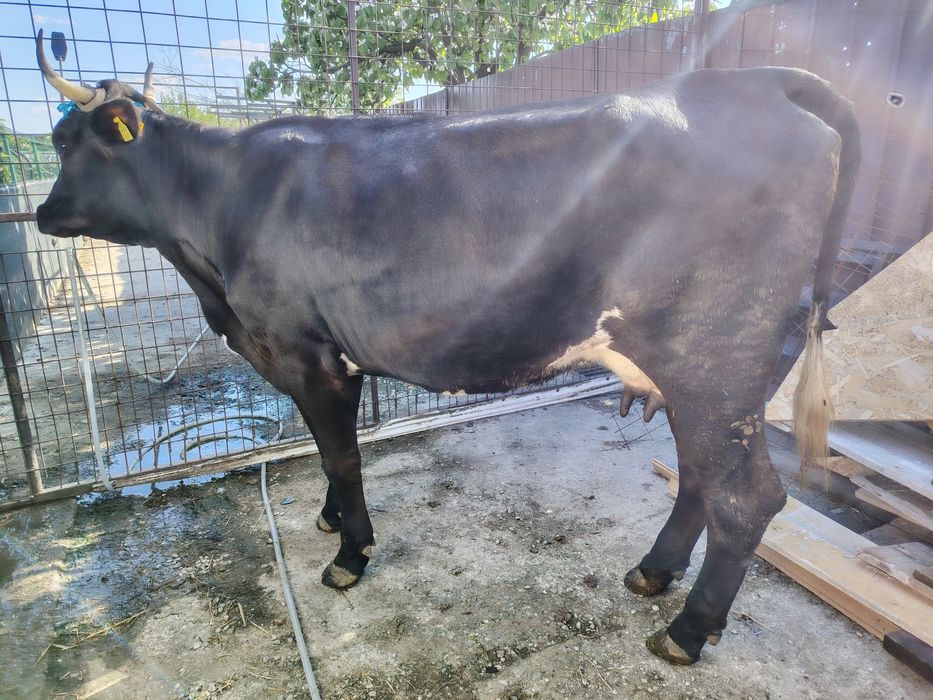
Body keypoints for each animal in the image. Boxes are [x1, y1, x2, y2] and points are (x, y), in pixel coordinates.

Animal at [34, 29, 858, 665]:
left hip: (717, 358)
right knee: (698, 478)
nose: (40, 213)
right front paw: (331, 519)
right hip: (711, 374)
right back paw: (653, 573)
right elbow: (325, 453)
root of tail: (760, 81)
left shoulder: (305, 353)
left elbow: (340, 454)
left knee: (745, 497)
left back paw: (686, 631)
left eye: (65, 141)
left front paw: (349, 554)